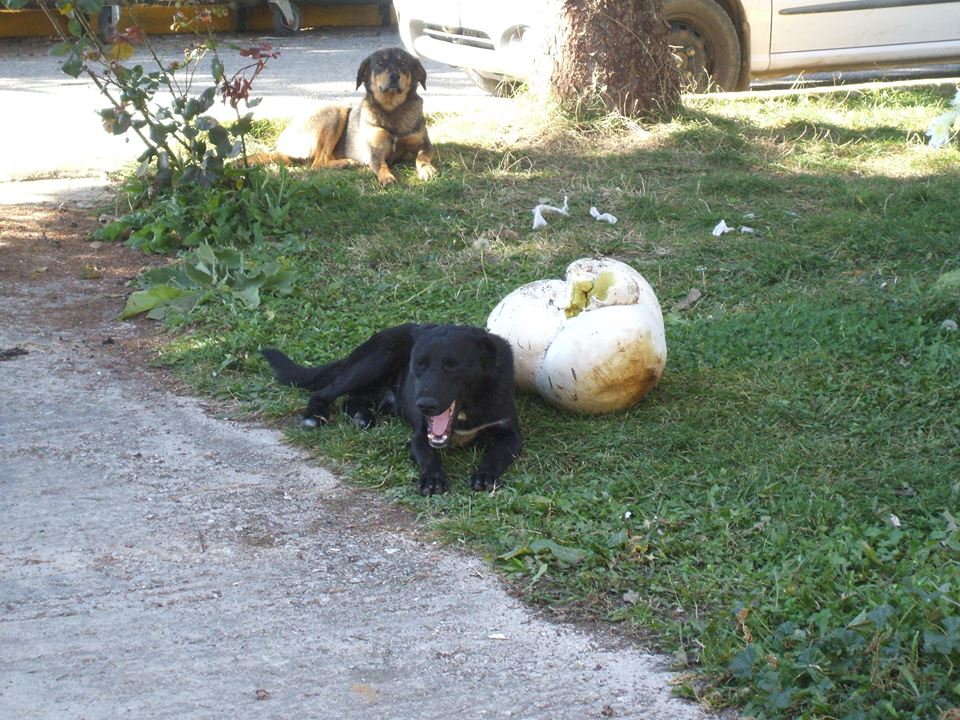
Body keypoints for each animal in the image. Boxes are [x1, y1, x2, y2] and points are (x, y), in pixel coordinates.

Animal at [253, 45, 436, 186]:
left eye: (403, 63)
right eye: (380, 62)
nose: (394, 76)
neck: (393, 108)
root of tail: (281, 146)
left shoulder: (424, 145)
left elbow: (422, 157)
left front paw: (427, 170)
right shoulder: (375, 153)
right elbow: (381, 165)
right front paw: (387, 177)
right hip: (335, 112)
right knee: (318, 163)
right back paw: (346, 162)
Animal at [258, 324, 520, 496]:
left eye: (452, 365)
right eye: (419, 364)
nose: (424, 404)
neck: (468, 408)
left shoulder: (510, 433)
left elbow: (495, 454)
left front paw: (485, 475)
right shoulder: (421, 435)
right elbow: (429, 456)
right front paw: (432, 479)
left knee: (352, 400)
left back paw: (361, 417)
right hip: (378, 358)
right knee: (326, 392)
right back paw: (315, 416)